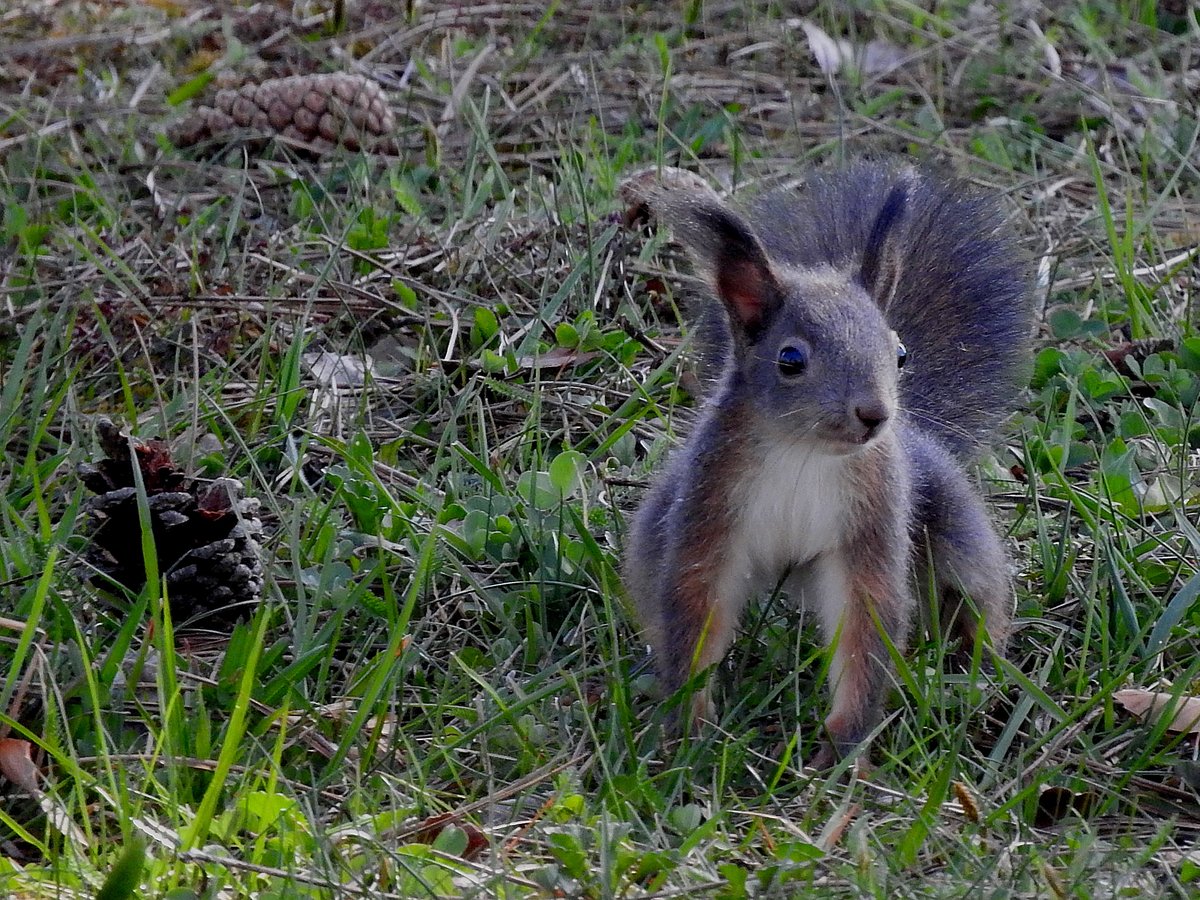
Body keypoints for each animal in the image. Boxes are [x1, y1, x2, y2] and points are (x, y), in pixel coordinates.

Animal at [619, 160, 1032, 768]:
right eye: (790, 360)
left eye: (900, 354)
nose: (874, 415)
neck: (805, 454)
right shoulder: (708, 512)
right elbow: (695, 607)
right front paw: (689, 735)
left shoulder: (871, 524)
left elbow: (867, 621)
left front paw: (840, 750)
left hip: (953, 528)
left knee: (976, 593)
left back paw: (980, 668)